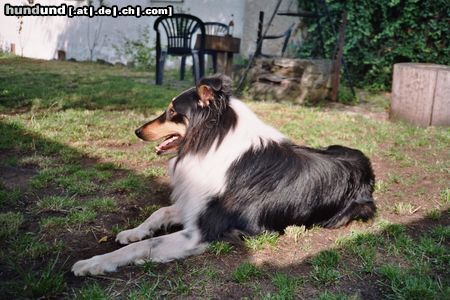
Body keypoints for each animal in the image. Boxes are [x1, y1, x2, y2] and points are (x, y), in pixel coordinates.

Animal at [73, 74, 376, 276]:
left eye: (172, 111)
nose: (137, 131)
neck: (210, 142)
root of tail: (365, 162)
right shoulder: (196, 204)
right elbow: (159, 212)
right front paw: (133, 232)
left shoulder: (203, 230)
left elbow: (146, 245)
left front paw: (94, 263)